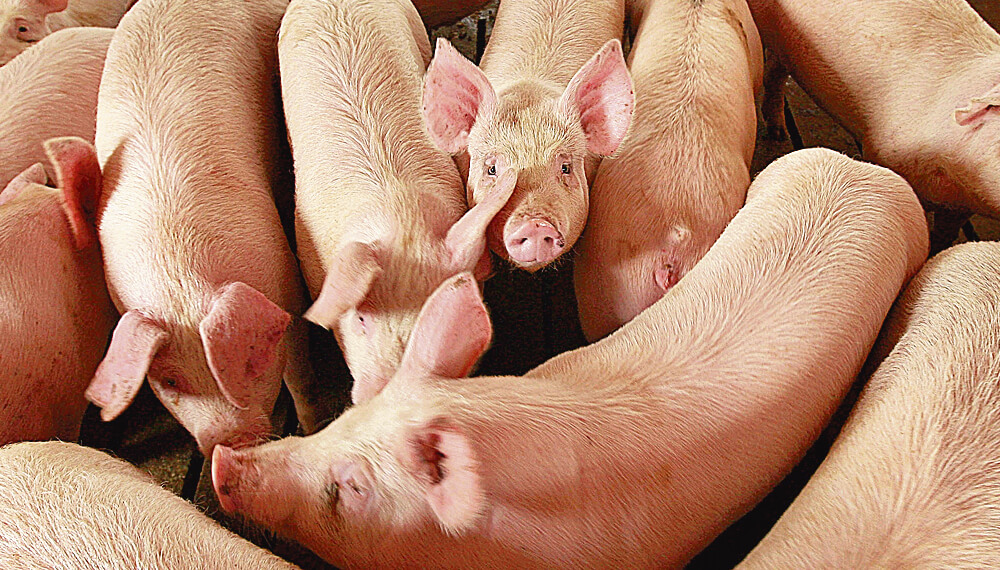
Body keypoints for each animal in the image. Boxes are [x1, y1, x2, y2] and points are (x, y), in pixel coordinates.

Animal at [86, 0, 319, 453]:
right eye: (170, 380)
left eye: (249, 361)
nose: (228, 439)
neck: (179, 280)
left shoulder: (287, 285)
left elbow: (301, 375)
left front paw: (311, 428)